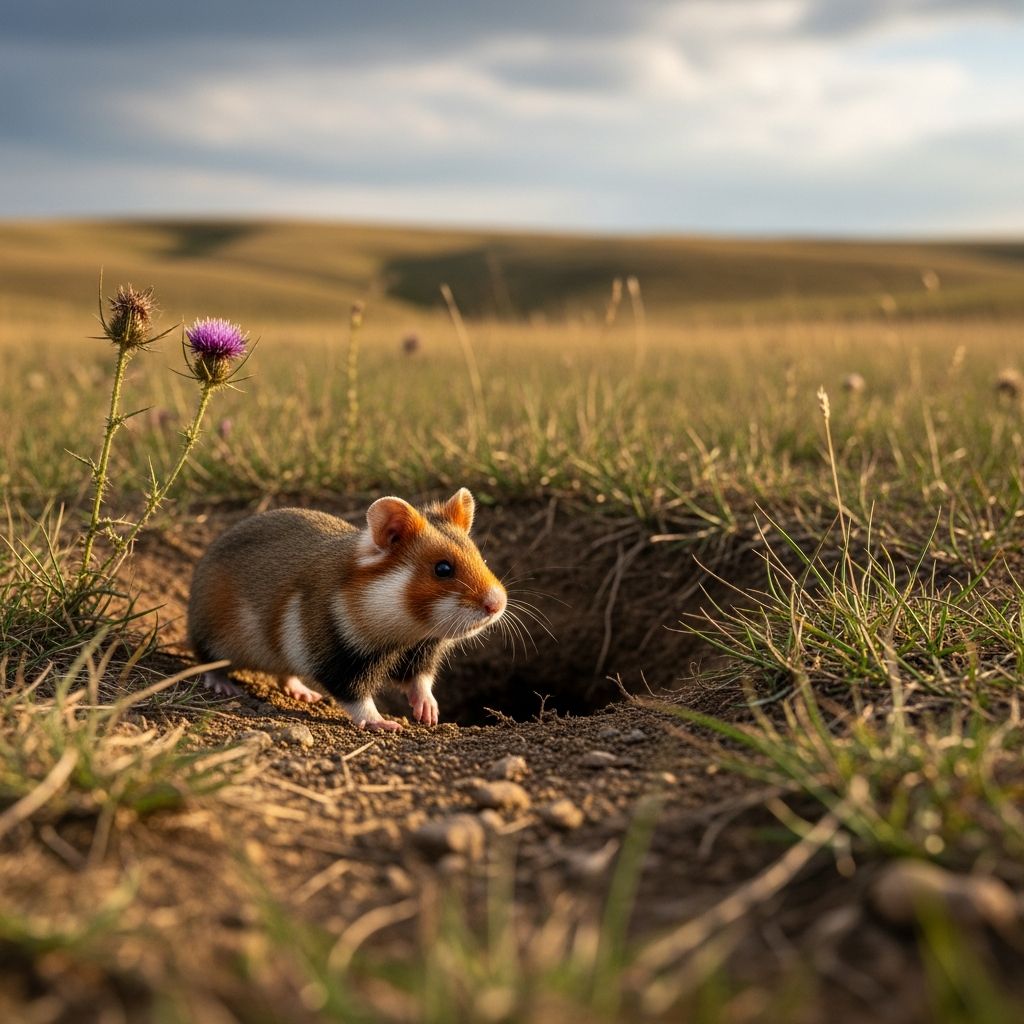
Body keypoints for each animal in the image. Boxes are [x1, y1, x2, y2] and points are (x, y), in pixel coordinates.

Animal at [186, 488, 506, 731]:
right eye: (442, 569)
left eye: (479, 556)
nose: (498, 604)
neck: (405, 629)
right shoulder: (336, 658)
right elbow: (357, 699)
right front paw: (386, 724)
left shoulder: (421, 651)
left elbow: (420, 682)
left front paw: (429, 714)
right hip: (213, 637)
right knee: (207, 659)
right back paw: (225, 687)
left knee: (285, 675)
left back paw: (305, 694)